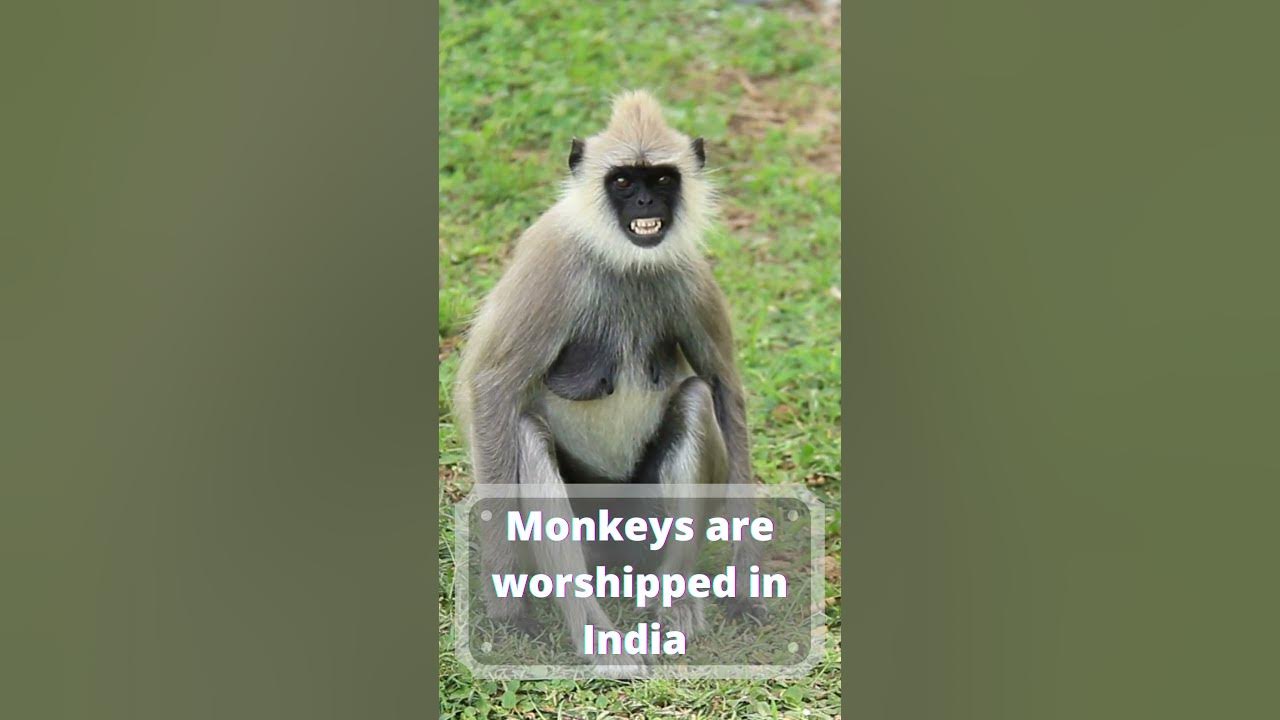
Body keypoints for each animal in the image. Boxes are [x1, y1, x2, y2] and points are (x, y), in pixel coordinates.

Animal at [453, 90, 763, 667]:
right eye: (622, 181)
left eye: (661, 178)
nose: (643, 203)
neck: (625, 263)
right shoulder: (550, 264)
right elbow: (493, 390)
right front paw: (506, 607)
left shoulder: (692, 277)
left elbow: (723, 386)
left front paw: (748, 585)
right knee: (526, 436)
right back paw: (596, 634)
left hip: (642, 517)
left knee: (695, 399)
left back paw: (672, 602)